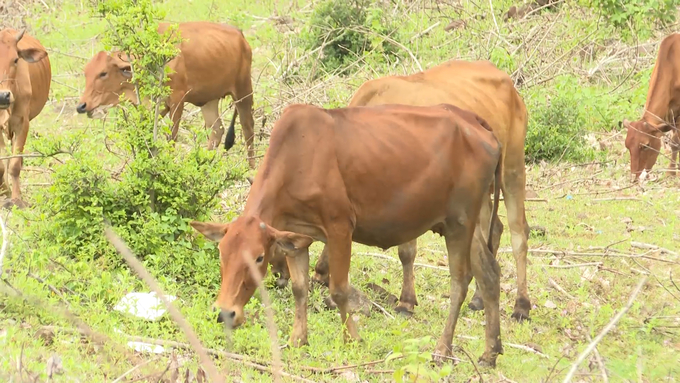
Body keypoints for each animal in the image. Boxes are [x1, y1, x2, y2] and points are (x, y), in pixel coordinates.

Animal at [0, 29, 51, 210]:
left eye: (15, 59)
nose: (3, 96)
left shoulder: (23, 123)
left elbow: (14, 165)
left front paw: (16, 199)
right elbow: (1, 164)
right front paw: (4, 192)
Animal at [77, 21, 256, 168]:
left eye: (103, 73)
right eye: (86, 73)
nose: (81, 106)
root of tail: (239, 34)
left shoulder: (177, 99)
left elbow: (171, 138)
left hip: (243, 90)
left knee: (248, 127)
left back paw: (250, 170)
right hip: (208, 100)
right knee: (217, 130)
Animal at [191, 103, 504, 368]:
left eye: (258, 258)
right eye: (221, 254)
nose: (225, 313)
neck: (297, 158)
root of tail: (475, 121)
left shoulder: (340, 227)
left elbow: (339, 290)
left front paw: (352, 337)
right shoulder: (297, 236)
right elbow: (299, 288)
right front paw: (297, 340)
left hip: (459, 223)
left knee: (460, 281)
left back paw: (442, 349)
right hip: (468, 223)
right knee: (489, 273)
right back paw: (490, 352)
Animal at [268, 60, 532, 322]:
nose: (277, 277)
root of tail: (507, 81)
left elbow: (406, 251)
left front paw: (406, 301)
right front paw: (322, 272)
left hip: (512, 169)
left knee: (519, 233)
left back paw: (521, 305)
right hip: (480, 193)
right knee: (493, 231)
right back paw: (478, 299)